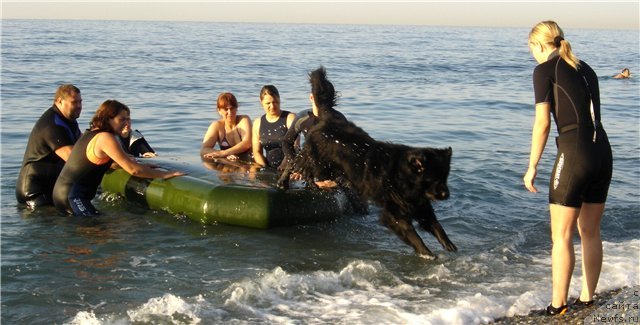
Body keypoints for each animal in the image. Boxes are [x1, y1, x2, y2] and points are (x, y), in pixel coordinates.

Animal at [278, 66, 456, 258]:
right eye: (432, 180)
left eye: (445, 178)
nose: (446, 194)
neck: (401, 175)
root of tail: (327, 119)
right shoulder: (394, 210)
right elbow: (411, 233)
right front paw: (427, 254)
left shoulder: (418, 203)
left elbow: (434, 223)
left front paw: (449, 244)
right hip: (318, 160)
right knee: (295, 162)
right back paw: (285, 182)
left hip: (328, 167)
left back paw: (311, 185)